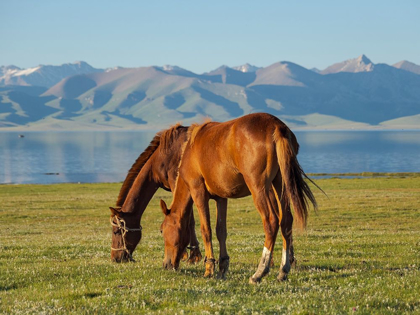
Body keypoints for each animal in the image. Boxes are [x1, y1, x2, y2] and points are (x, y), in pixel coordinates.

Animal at [109, 124, 203, 262]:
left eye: (116, 231)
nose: (115, 258)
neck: (160, 159)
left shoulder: (177, 185)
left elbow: (188, 219)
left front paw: (192, 255)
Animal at [159, 113, 316, 284]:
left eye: (162, 230)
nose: (166, 264)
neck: (190, 151)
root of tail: (276, 126)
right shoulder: (221, 198)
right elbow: (221, 231)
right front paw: (222, 267)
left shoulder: (198, 192)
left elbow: (206, 230)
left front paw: (209, 268)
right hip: (280, 185)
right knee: (286, 221)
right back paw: (283, 271)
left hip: (259, 188)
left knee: (271, 221)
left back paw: (259, 272)